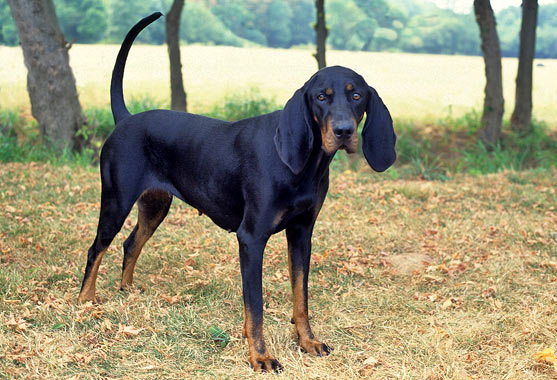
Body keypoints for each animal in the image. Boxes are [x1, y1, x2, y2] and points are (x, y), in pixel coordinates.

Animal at [79, 12, 396, 374]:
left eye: (357, 96)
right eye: (321, 96)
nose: (344, 131)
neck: (304, 166)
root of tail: (126, 119)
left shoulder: (302, 233)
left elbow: (301, 297)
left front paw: (307, 342)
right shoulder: (252, 238)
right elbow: (255, 308)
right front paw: (261, 357)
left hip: (156, 205)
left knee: (131, 243)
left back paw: (128, 289)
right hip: (116, 202)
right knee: (96, 249)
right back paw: (85, 302)